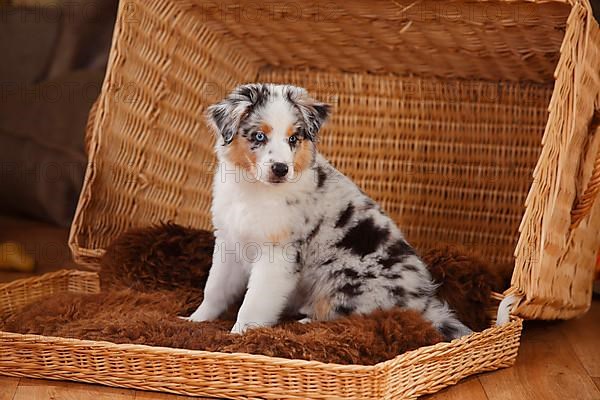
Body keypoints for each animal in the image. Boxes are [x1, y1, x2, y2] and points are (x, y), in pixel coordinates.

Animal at [184, 84, 474, 340]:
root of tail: (424, 303)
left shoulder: (278, 254)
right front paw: (195, 319)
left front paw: (240, 333)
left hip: (347, 282)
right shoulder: (229, 241)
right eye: (258, 136)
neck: (254, 190)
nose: (281, 169)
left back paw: (306, 320)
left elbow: (254, 301)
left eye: (293, 138)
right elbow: (214, 288)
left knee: (361, 317)